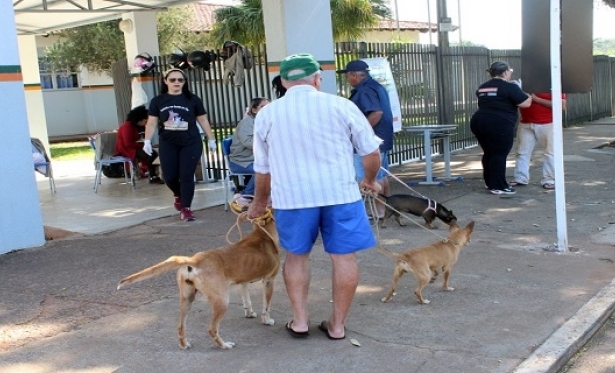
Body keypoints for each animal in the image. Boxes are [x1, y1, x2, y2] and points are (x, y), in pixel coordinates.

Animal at [116, 212, 280, 348]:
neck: (263, 233)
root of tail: (194, 260)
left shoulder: (243, 282)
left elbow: (247, 301)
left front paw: (250, 313)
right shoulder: (269, 281)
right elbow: (266, 307)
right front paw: (267, 321)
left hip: (187, 299)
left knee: (181, 326)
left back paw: (184, 345)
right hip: (222, 301)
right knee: (212, 328)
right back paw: (224, 345)